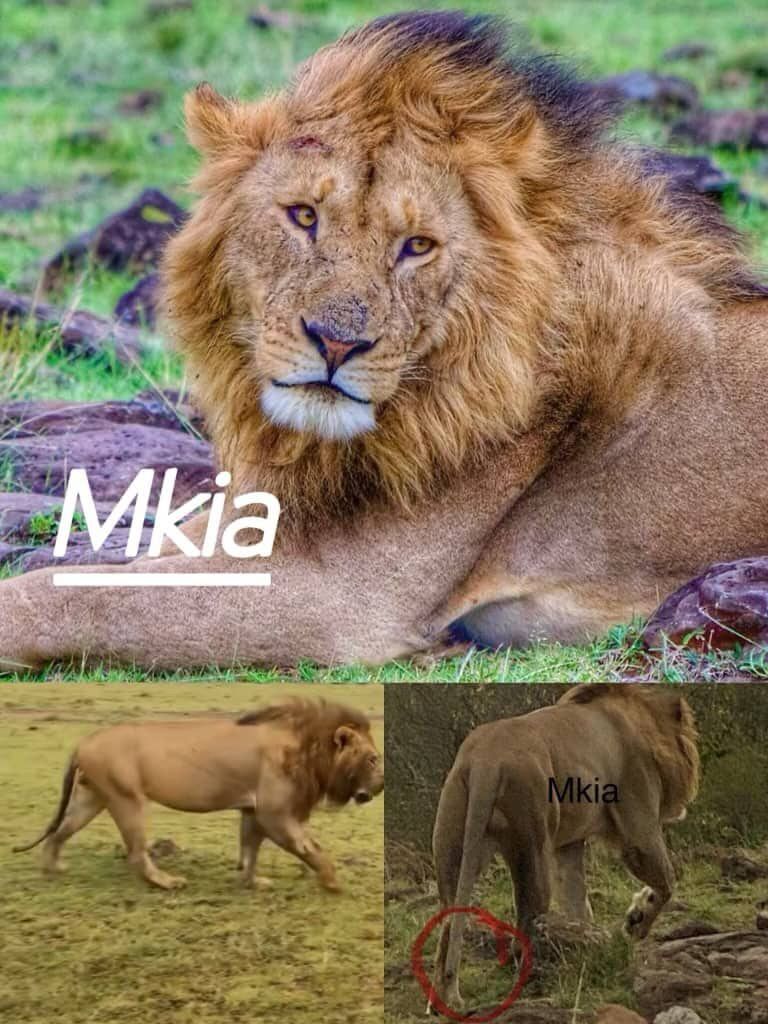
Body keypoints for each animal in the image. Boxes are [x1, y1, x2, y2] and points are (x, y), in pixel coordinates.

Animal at [12, 700, 384, 890]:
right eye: (372, 758)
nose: (381, 785)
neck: (309, 747)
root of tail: (82, 743)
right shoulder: (275, 813)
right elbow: (311, 848)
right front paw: (333, 882)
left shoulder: (253, 810)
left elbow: (250, 849)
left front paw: (252, 881)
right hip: (126, 798)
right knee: (136, 854)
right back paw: (166, 882)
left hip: (92, 798)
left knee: (60, 832)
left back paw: (52, 868)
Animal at [429, 684, 699, 1014]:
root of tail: (485, 760)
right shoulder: (639, 826)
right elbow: (666, 881)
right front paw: (635, 921)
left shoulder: (568, 845)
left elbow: (577, 902)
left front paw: (589, 945)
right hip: (532, 840)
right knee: (527, 920)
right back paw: (533, 984)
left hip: (455, 843)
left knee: (448, 920)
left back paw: (441, 1000)